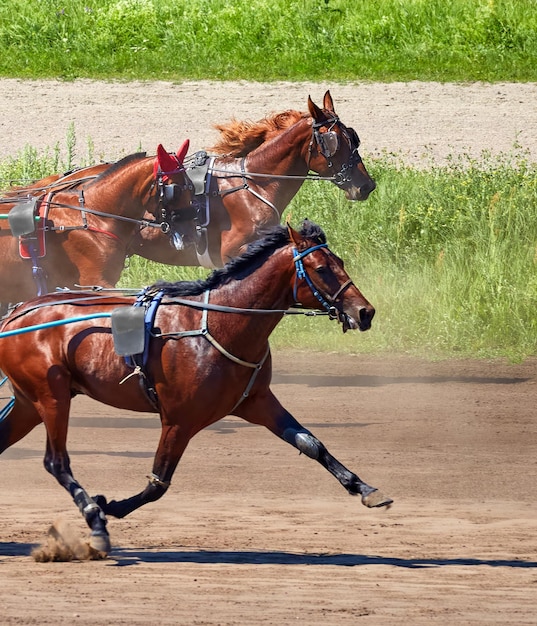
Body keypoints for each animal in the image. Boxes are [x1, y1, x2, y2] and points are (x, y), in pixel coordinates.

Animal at [0, 219, 390, 556]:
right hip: (51, 396)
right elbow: (158, 483)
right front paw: (108, 506)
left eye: (340, 262)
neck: (219, 323)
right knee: (57, 462)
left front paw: (366, 489)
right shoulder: (179, 419)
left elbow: (311, 444)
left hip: (28, 403)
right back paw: (95, 523)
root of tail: (15, 315)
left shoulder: (257, 401)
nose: (365, 312)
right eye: (322, 268)